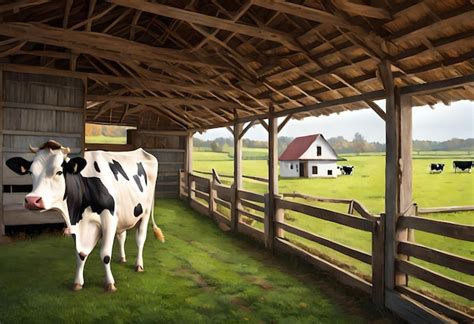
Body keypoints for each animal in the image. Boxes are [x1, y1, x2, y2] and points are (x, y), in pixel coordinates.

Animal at [4, 140, 165, 292]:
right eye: (31, 172)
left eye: (59, 172)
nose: (32, 200)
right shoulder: (76, 224)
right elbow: (80, 255)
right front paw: (78, 283)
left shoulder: (109, 219)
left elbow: (105, 255)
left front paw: (110, 284)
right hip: (124, 214)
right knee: (122, 236)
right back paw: (122, 258)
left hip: (145, 211)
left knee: (140, 239)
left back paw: (139, 265)